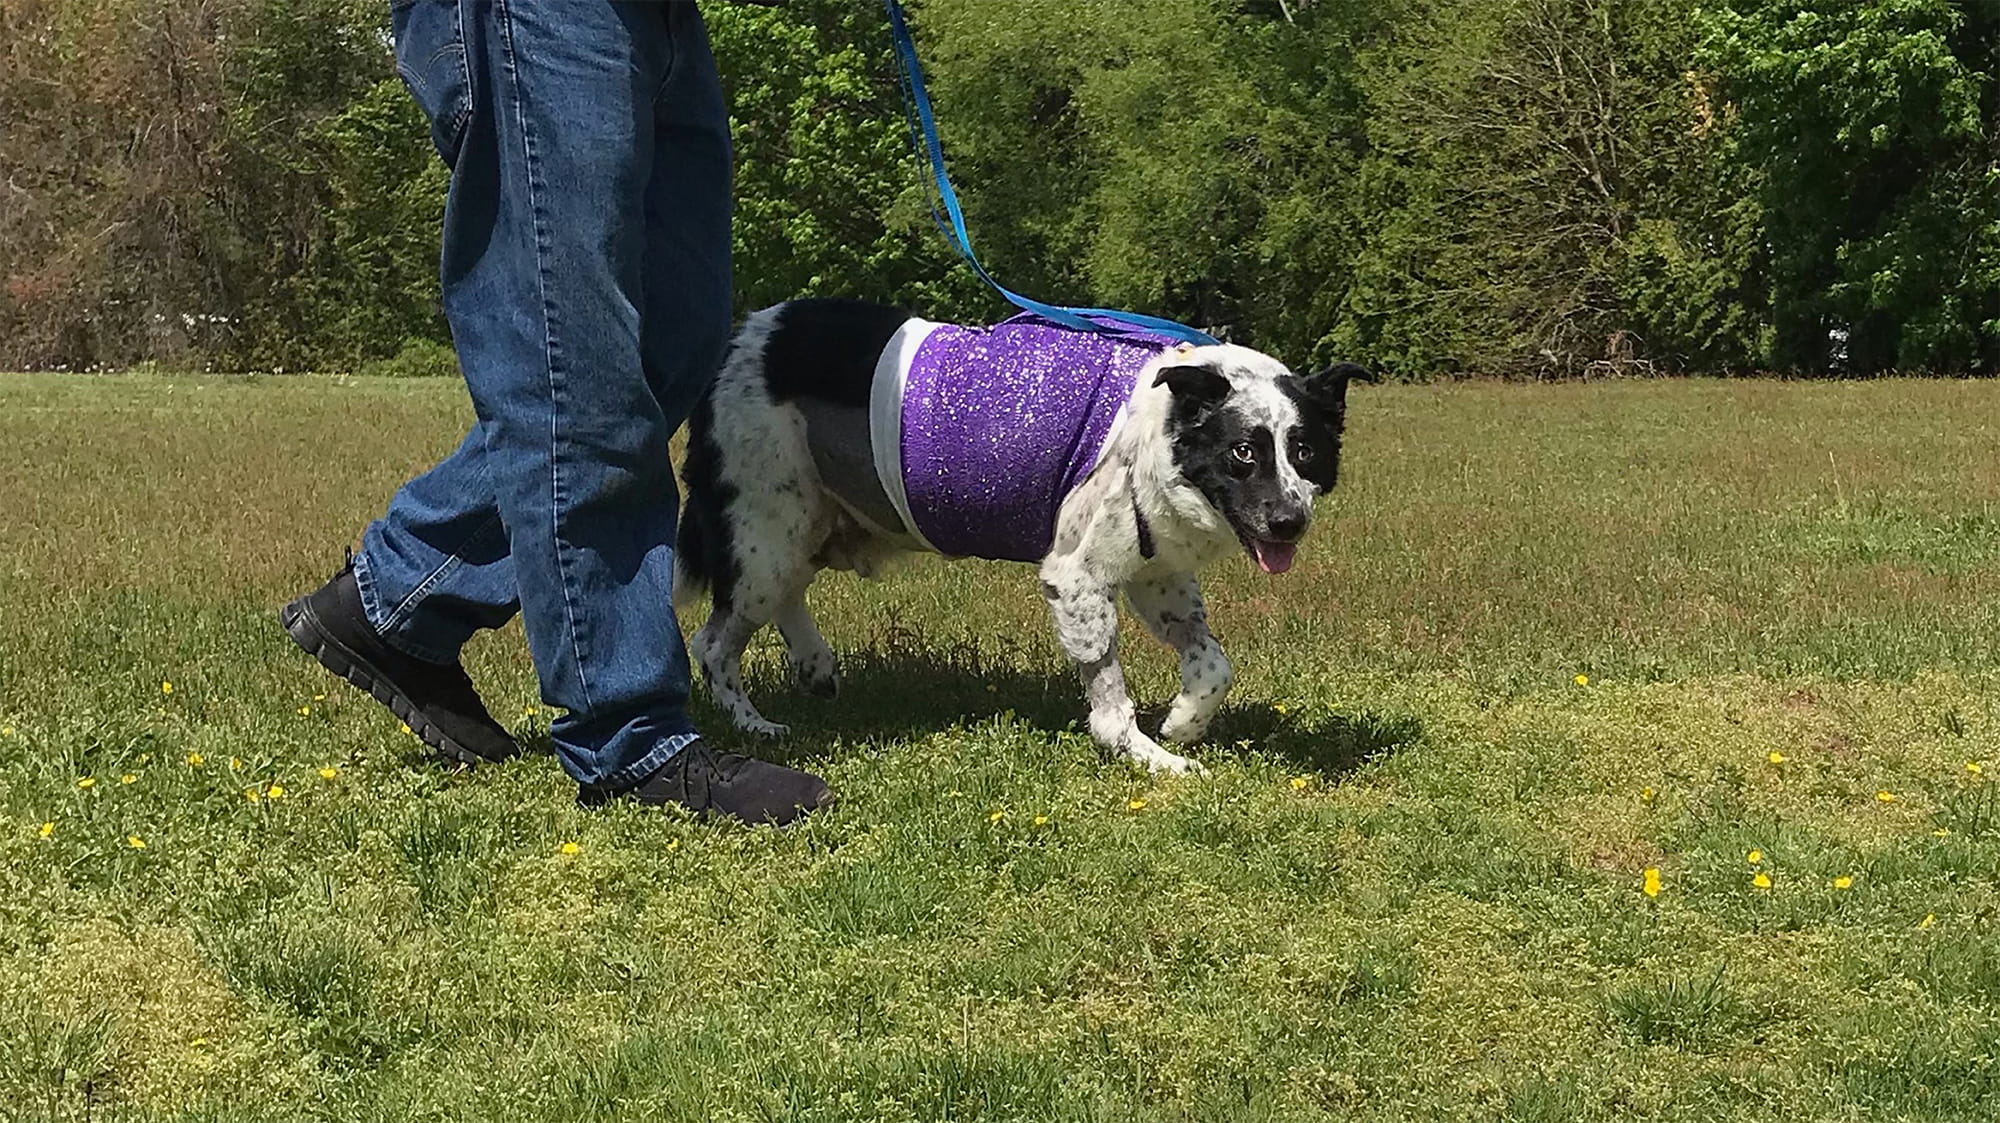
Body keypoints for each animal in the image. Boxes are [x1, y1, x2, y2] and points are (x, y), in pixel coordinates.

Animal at [680, 297, 1368, 767]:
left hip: (801, 526)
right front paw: (1150, 757)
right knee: (712, 644)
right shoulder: (1077, 578)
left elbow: (1213, 663)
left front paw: (1182, 724)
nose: (1289, 522)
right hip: (769, 526)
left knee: (783, 596)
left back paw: (815, 665)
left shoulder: (1157, 571)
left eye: (1305, 452)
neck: (1163, 419)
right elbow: (1111, 701)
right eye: (1243, 454)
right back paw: (753, 726)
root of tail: (745, 336)